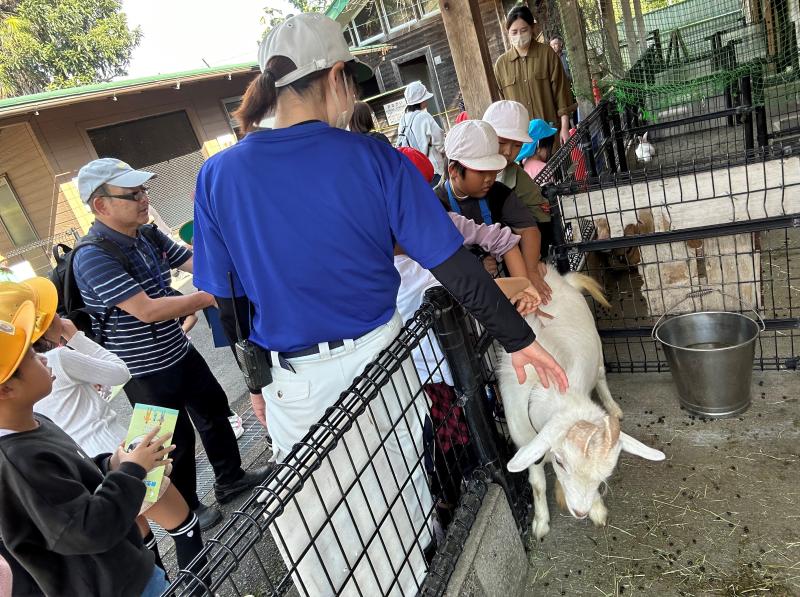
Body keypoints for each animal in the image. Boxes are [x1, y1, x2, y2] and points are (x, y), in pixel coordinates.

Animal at [500, 266, 664, 540]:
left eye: (606, 474)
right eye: (559, 462)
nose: (580, 512)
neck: (545, 385)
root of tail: (559, 278)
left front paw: (597, 510)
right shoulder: (526, 443)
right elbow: (537, 484)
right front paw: (541, 523)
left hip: (597, 347)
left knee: (601, 377)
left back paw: (613, 407)